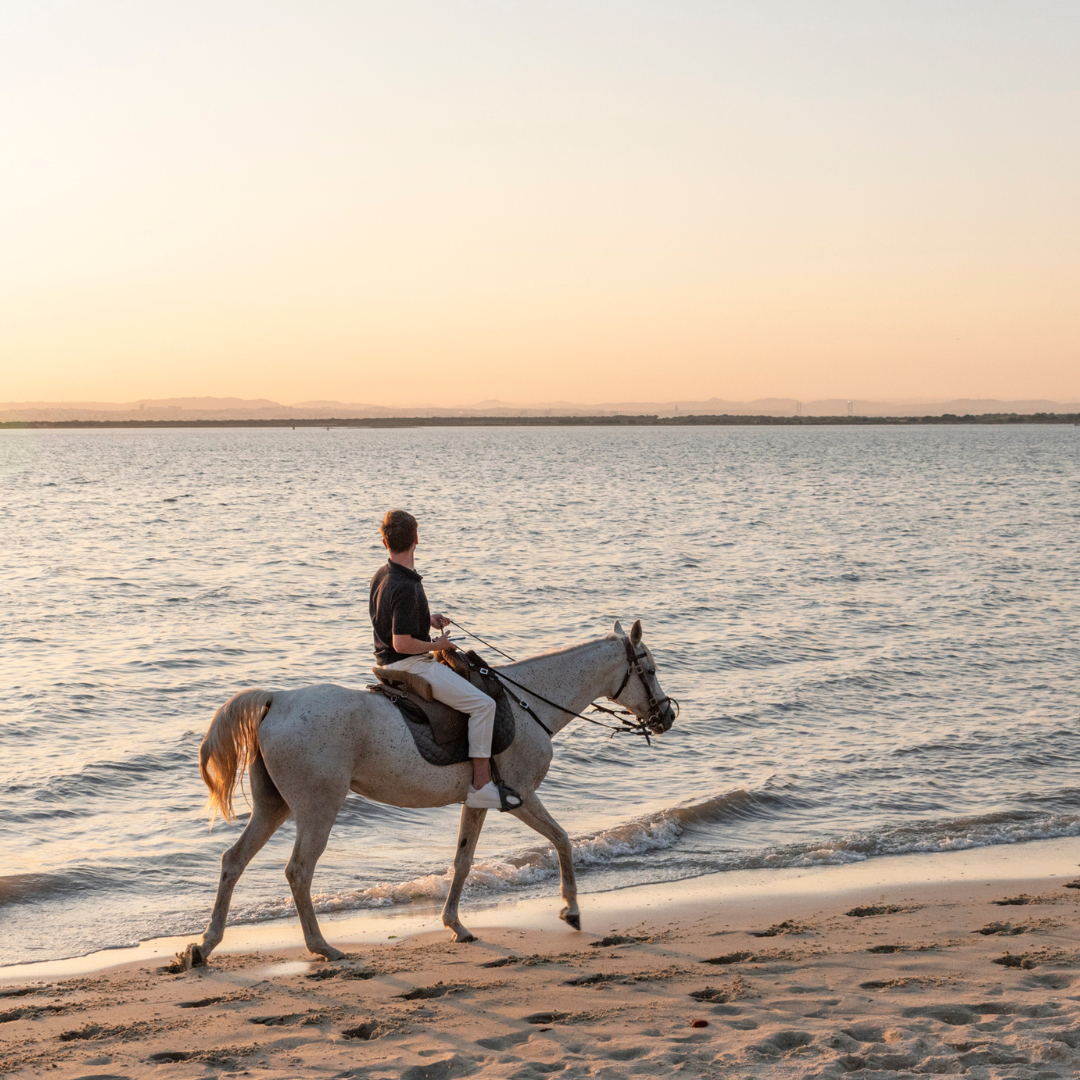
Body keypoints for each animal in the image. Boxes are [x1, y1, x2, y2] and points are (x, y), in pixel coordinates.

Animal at [183, 622, 673, 967]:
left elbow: (462, 861)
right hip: (317, 808)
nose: (667, 716)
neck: (528, 704)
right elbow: (562, 840)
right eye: (648, 670)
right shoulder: (522, 796)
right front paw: (570, 910)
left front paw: (455, 924)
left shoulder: (478, 802)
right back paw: (322, 947)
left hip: (274, 807)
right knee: (299, 871)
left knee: (233, 861)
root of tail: (278, 700)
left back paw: (205, 945)